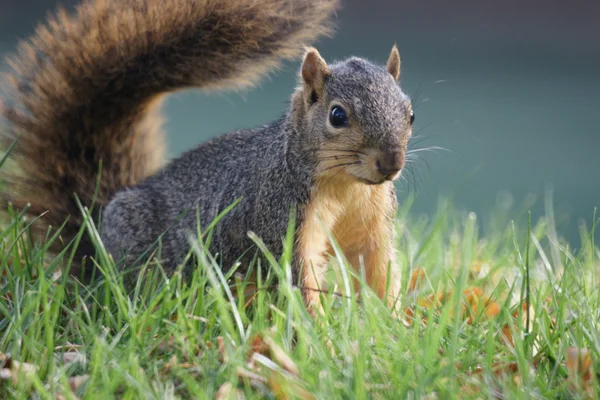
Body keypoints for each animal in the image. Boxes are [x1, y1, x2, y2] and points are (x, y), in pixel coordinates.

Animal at [0, 0, 412, 314]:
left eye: (409, 113)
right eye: (337, 116)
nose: (391, 163)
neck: (345, 184)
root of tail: (93, 246)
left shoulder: (371, 222)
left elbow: (377, 270)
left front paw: (391, 324)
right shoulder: (280, 221)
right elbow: (298, 282)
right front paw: (319, 337)